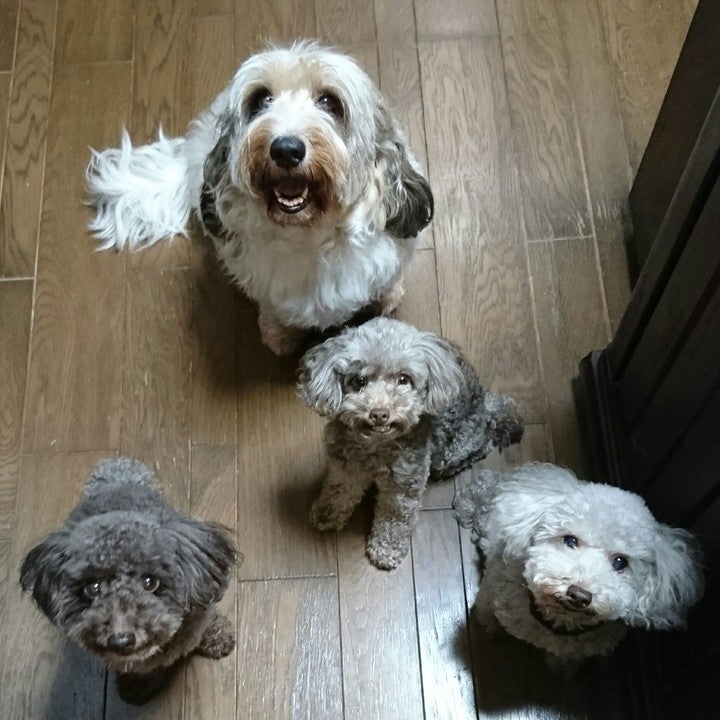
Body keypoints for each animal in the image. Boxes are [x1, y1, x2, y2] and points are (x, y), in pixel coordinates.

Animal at [20, 457, 237, 705]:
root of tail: (114, 479)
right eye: (92, 588)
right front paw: (136, 685)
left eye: (150, 582)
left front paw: (220, 638)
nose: (121, 640)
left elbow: (209, 624)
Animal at [86, 40, 433, 356]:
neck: (308, 235)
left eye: (329, 102)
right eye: (261, 99)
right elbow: (274, 310)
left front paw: (387, 299)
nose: (286, 149)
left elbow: (387, 282)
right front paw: (279, 335)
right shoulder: (262, 282)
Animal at [297, 317, 524, 569]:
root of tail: (484, 402)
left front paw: (386, 550)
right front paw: (326, 513)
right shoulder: (345, 467)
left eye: (403, 379)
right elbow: (339, 491)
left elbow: (394, 518)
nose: (379, 414)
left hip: (455, 449)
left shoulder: (403, 486)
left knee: (482, 442)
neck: (376, 446)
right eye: (359, 380)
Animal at [453, 462, 704, 668]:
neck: (557, 622)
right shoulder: (493, 588)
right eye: (570, 540)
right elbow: (487, 610)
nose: (579, 594)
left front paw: (562, 665)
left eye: (620, 562)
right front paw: (491, 627)